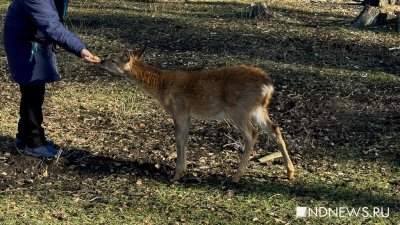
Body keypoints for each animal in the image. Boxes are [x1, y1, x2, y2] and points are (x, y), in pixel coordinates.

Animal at [100, 47, 294, 183]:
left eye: (113, 59)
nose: (101, 60)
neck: (161, 87)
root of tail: (268, 86)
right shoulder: (187, 114)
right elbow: (185, 138)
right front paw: (182, 170)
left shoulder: (178, 109)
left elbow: (179, 138)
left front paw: (177, 174)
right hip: (258, 109)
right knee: (275, 128)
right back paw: (290, 172)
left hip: (240, 109)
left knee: (252, 134)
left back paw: (236, 175)